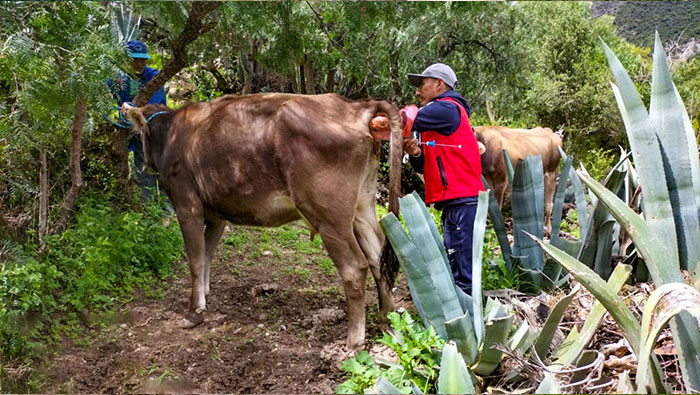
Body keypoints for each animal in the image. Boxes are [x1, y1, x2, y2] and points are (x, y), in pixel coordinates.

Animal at [122, 93, 402, 350]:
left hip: (328, 217)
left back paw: (354, 342)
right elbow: (208, 255)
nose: (143, 165)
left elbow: (196, 258)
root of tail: (355, 107)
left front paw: (194, 312)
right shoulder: (217, 214)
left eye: (138, 135)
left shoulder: (187, 205)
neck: (171, 134)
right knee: (378, 259)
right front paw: (204, 295)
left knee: (355, 268)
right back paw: (389, 323)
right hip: (362, 206)